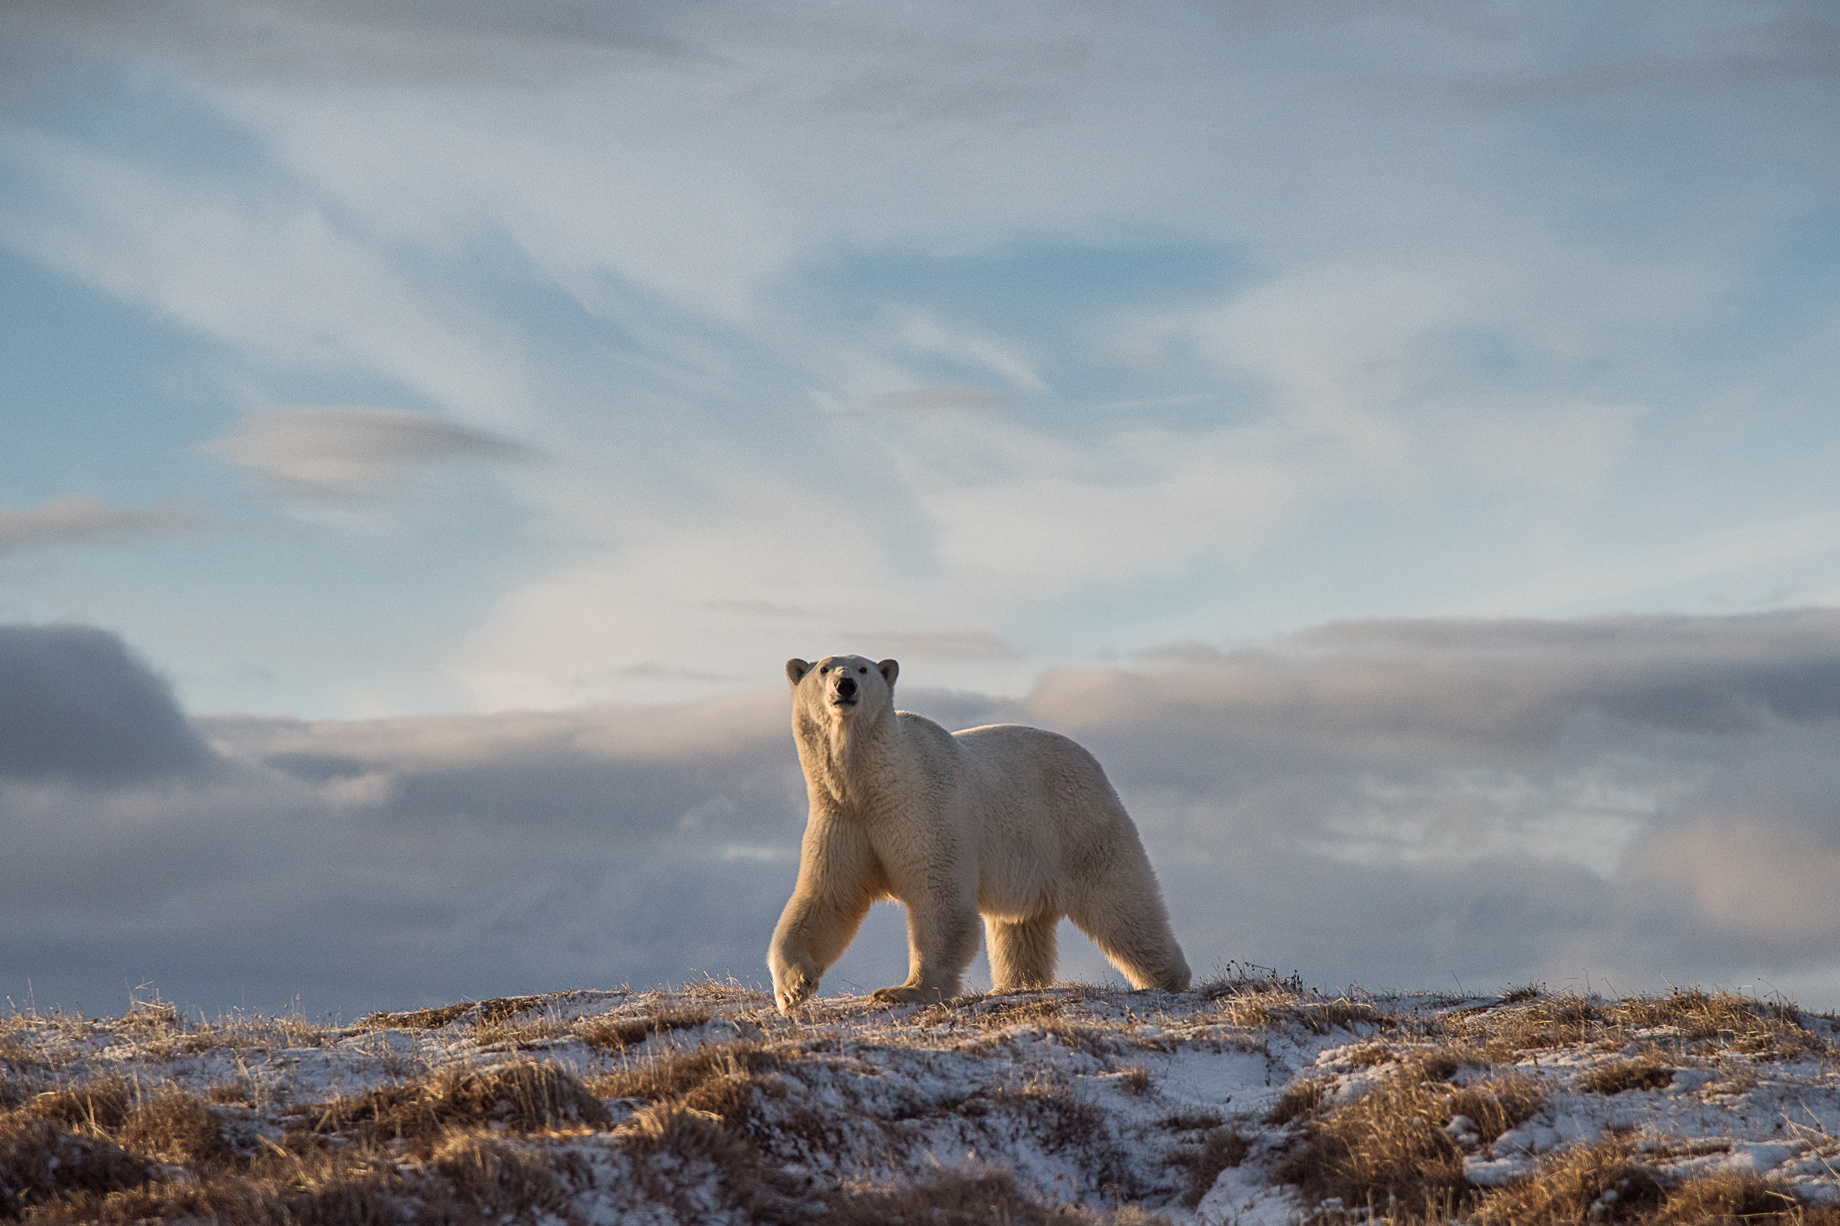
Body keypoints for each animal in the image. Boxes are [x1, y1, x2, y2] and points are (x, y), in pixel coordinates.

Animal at [765, 647, 1184, 1008]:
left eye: (863, 669)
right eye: (824, 669)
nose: (845, 685)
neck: (875, 784)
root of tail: (1091, 761)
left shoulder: (923, 811)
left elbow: (939, 897)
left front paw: (906, 990)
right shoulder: (842, 818)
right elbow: (827, 897)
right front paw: (792, 989)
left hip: (1077, 822)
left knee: (1121, 900)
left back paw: (1167, 978)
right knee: (1019, 924)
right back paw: (1016, 984)